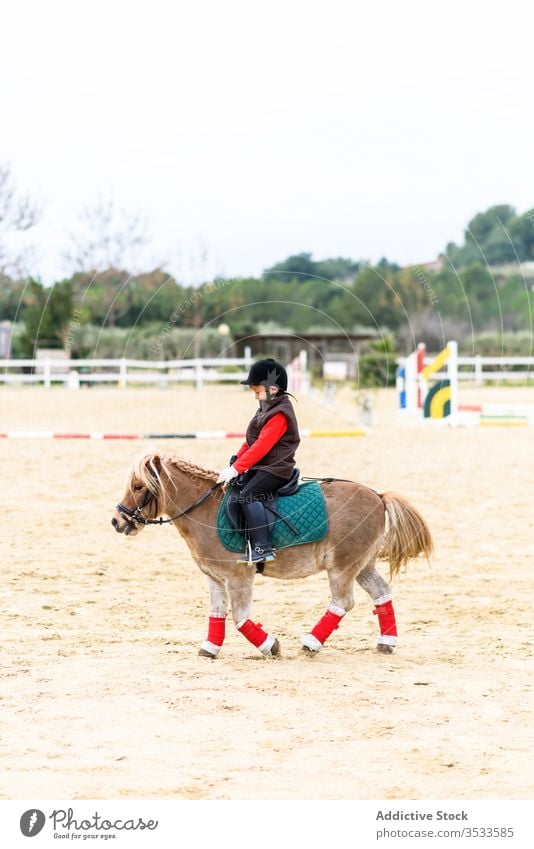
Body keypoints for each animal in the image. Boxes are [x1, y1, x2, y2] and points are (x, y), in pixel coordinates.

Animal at [111, 454, 434, 660]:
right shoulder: (214, 578)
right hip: (363, 565)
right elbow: (217, 613)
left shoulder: (238, 576)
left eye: (138, 486)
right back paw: (386, 642)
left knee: (343, 602)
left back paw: (311, 643)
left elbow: (240, 618)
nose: (117, 521)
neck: (204, 510)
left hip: (343, 566)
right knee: (381, 593)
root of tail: (377, 496)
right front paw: (209, 648)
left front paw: (271, 646)